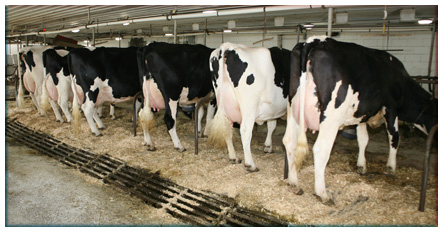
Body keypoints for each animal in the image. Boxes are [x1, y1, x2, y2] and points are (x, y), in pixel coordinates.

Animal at [210, 42, 294, 171]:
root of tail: (229, 46)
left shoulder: (272, 109)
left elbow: (271, 125)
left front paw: (268, 146)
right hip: (249, 105)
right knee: (245, 130)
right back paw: (250, 164)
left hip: (224, 103)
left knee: (227, 129)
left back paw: (234, 157)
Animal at [282, 35, 438, 204]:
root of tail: (315, 41)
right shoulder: (391, 108)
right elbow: (394, 137)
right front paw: (391, 168)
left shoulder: (361, 115)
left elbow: (363, 139)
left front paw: (361, 166)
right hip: (331, 115)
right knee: (321, 149)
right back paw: (322, 193)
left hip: (293, 110)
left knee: (290, 142)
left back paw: (294, 183)